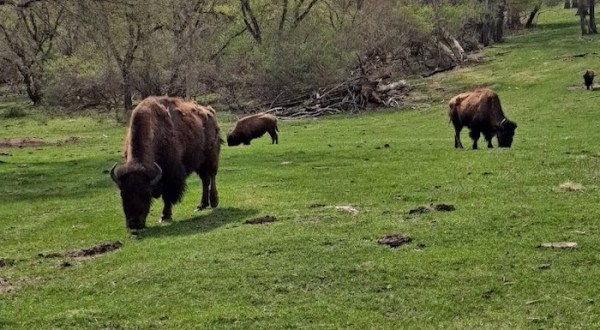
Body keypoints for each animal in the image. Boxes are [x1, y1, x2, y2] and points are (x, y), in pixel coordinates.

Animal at [109, 96, 220, 229]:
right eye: (123, 193)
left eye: (146, 193)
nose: (134, 223)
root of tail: (210, 112)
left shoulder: (170, 175)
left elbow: (167, 196)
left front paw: (165, 216)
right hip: (200, 163)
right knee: (205, 180)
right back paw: (201, 205)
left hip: (211, 157)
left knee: (212, 176)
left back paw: (214, 202)